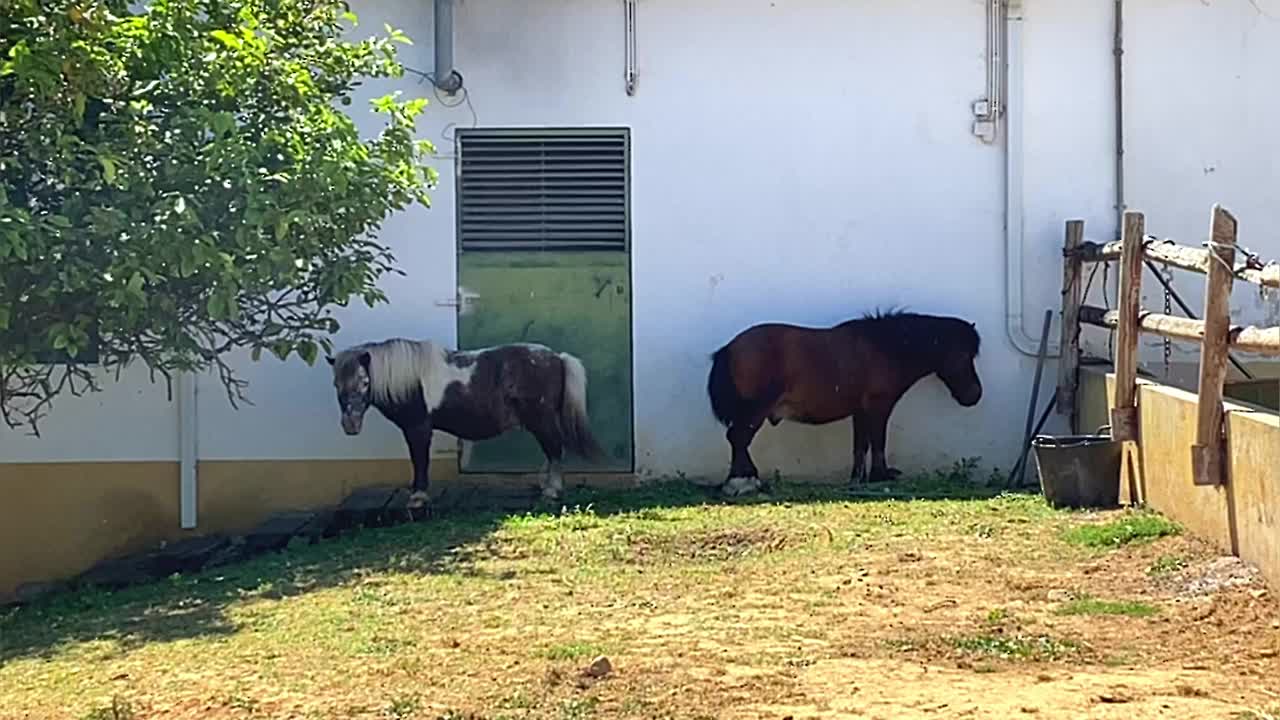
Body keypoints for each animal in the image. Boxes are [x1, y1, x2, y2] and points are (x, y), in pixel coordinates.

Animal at [330, 338, 609, 507]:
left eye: (365, 382)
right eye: (336, 384)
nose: (350, 425)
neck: (411, 380)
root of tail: (558, 358)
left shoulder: (418, 429)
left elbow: (420, 461)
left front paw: (418, 496)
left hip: (541, 419)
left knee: (554, 450)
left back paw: (552, 490)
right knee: (552, 451)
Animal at [706, 308, 983, 491]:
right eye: (964, 355)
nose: (975, 394)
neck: (885, 347)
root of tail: (728, 348)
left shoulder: (860, 411)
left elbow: (860, 445)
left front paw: (858, 478)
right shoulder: (879, 407)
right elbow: (878, 441)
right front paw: (880, 475)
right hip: (755, 410)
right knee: (738, 438)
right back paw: (742, 481)